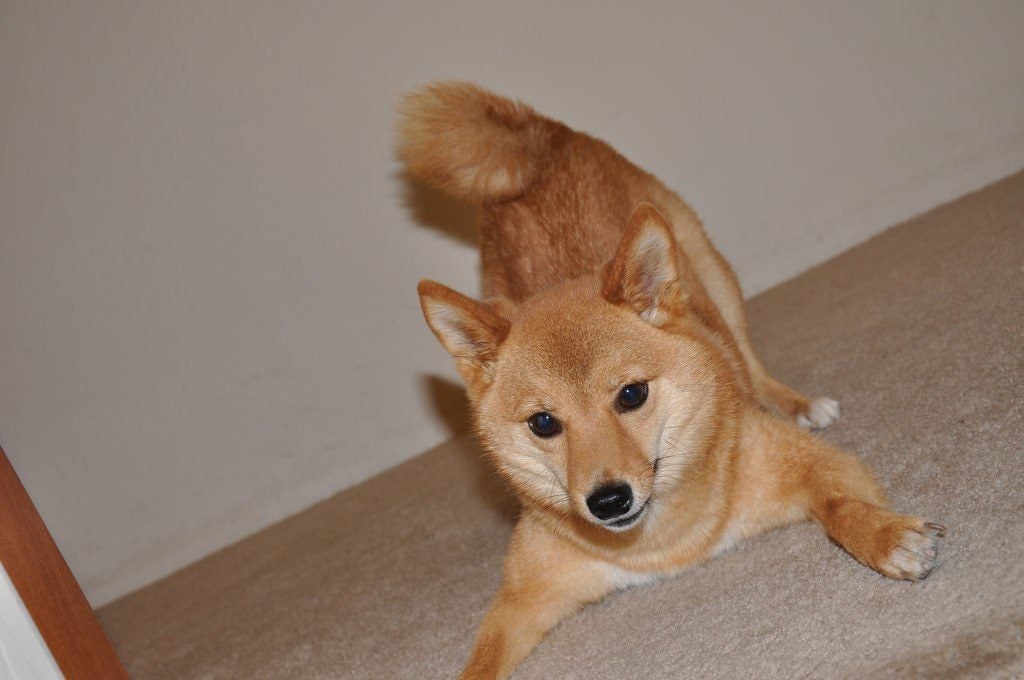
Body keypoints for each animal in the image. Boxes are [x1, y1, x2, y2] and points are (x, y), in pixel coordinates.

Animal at [397, 83, 942, 680]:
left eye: (631, 394)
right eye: (543, 422)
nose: (608, 501)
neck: (660, 545)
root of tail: (537, 146)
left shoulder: (820, 466)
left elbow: (840, 508)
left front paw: (886, 537)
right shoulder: (520, 598)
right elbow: (478, 663)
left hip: (709, 266)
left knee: (748, 357)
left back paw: (795, 402)